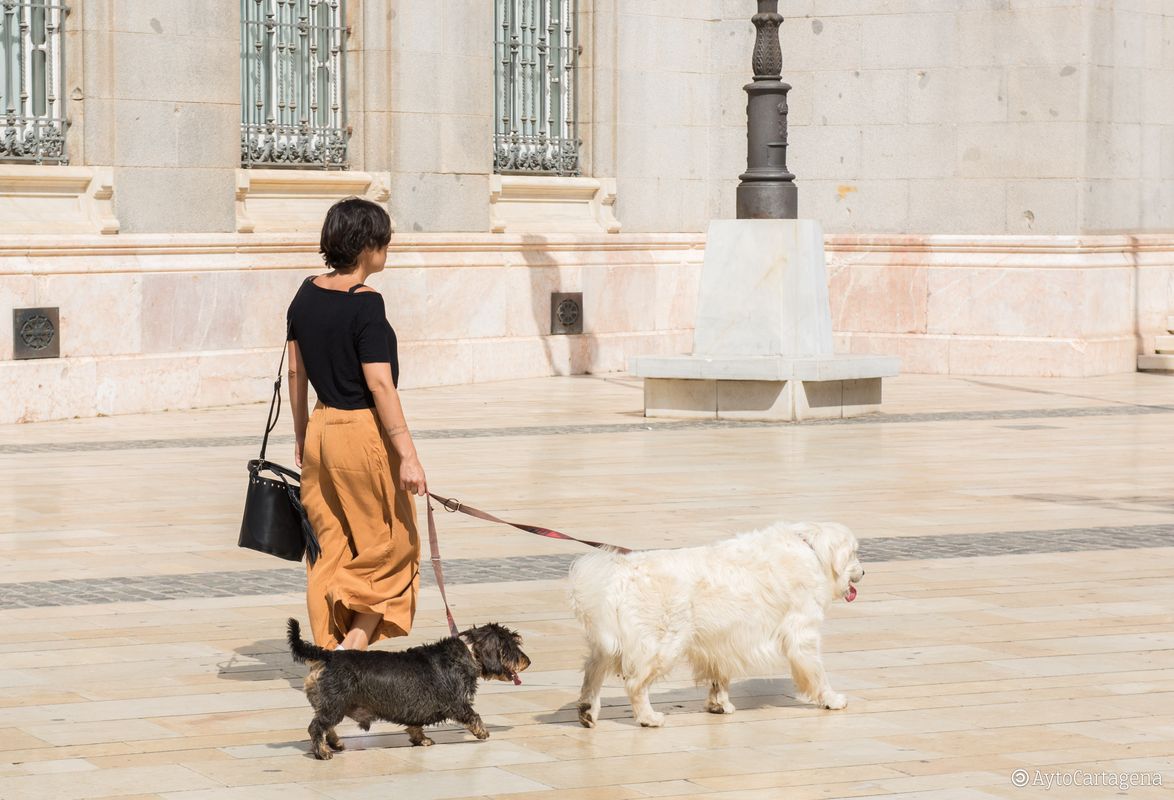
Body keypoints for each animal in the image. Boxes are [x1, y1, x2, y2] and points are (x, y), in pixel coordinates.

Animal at [287, 615, 532, 756]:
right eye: (510, 647)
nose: (528, 662)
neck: (468, 654)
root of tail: (328, 656)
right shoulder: (457, 703)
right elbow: (473, 715)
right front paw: (482, 732)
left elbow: (415, 725)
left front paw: (421, 739)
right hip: (335, 706)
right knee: (316, 727)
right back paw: (322, 752)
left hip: (334, 706)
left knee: (326, 727)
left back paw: (335, 744)